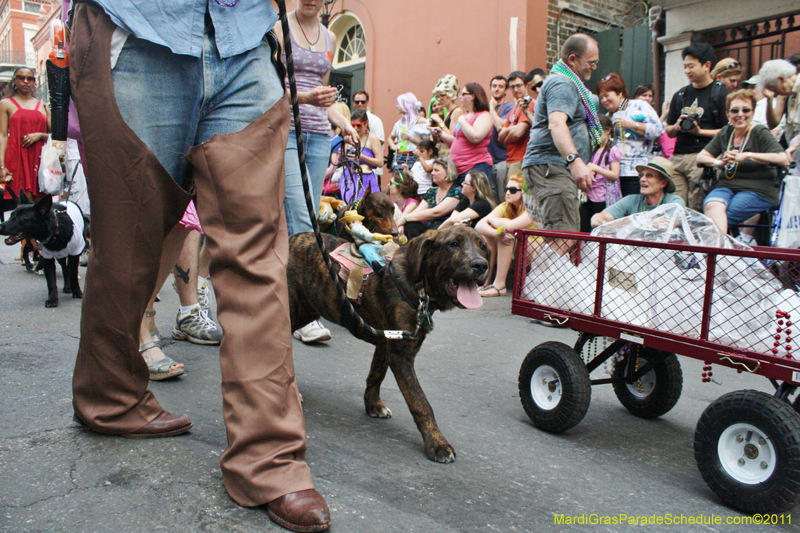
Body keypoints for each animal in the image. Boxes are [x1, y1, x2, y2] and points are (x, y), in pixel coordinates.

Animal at [288, 224, 488, 462]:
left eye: (483, 247)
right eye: (453, 244)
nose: (481, 265)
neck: (418, 284)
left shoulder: (388, 342)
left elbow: (376, 376)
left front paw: (374, 406)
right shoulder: (401, 355)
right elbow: (420, 402)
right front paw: (437, 444)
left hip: (306, 310)